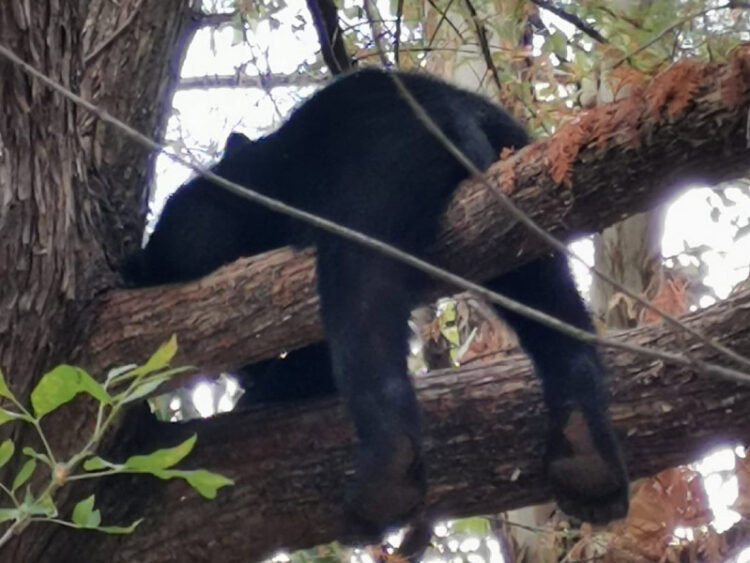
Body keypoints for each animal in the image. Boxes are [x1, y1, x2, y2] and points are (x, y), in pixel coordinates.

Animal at [121, 68, 628, 539]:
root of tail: (451, 104)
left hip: (374, 191)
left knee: (364, 308)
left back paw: (384, 481)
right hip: (515, 213)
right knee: (555, 317)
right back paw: (587, 457)